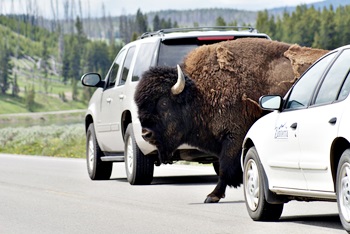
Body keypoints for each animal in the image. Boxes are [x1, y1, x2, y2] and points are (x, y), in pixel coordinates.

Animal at [134, 38, 328, 203]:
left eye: (163, 102)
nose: (146, 134)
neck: (199, 92)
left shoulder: (233, 138)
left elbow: (224, 168)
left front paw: (212, 196)